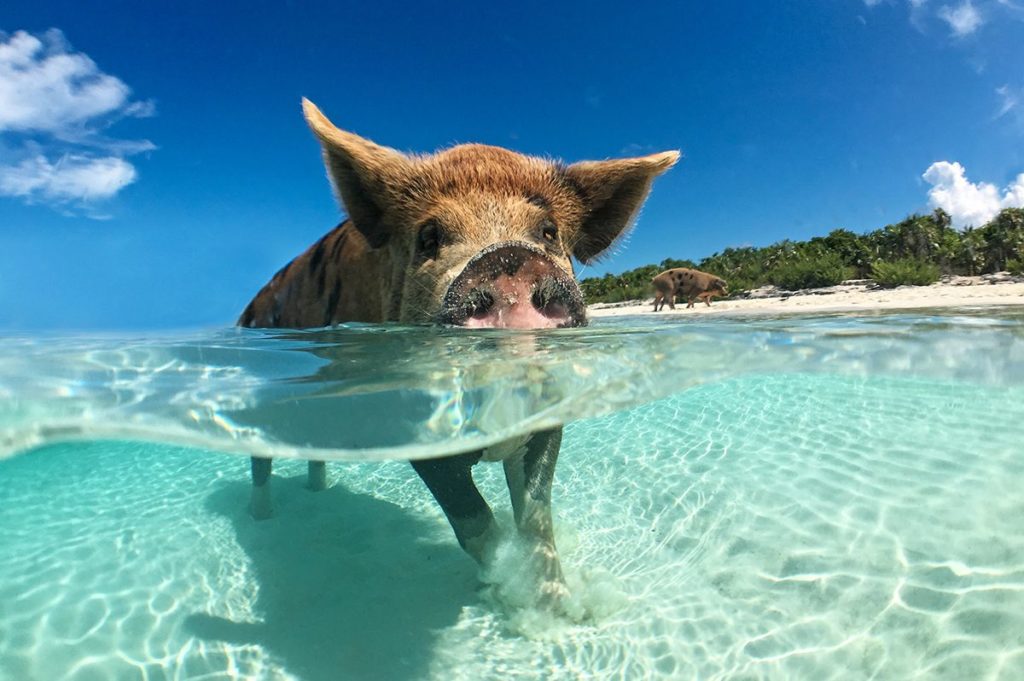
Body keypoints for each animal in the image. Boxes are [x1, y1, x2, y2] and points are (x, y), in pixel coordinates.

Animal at [235, 96, 675, 606]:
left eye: (548, 232)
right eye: (429, 236)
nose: (508, 258)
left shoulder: (547, 418)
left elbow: (536, 520)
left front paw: (562, 609)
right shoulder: (414, 426)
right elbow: (474, 522)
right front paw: (507, 595)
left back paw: (317, 493)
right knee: (260, 460)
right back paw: (261, 518)